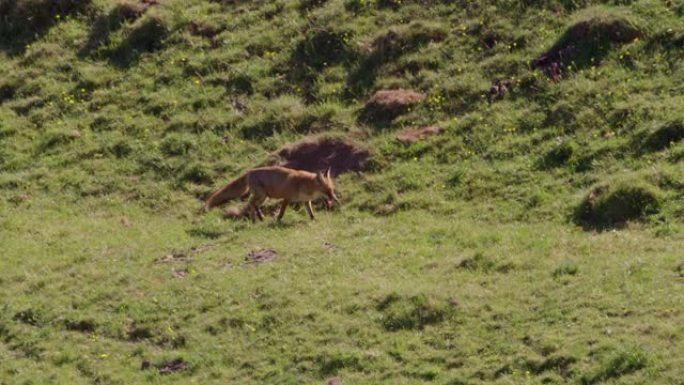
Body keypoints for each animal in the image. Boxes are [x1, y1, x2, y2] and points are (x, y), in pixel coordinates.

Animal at [204, 166, 340, 222]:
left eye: (332, 190)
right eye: (327, 191)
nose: (335, 199)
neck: (304, 184)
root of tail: (249, 171)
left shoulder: (306, 201)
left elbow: (310, 212)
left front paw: (313, 219)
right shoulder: (287, 198)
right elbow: (282, 211)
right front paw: (278, 220)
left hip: (264, 197)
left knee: (253, 204)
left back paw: (257, 219)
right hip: (262, 195)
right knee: (251, 203)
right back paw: (257, 218)